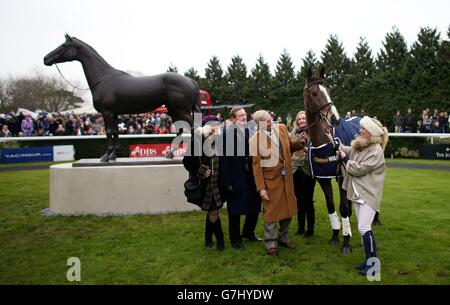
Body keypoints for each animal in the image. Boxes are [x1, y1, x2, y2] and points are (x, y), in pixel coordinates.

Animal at [44, 33, 200, 162]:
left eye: (64, 45)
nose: (45, 58)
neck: (103, 79)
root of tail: (190, 81)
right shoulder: (114, 113)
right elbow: (116, 132)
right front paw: (113, 156)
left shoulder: (106, 112)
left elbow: (109, 132)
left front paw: (105, 156)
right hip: (173, 110)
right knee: (182, 130)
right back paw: (171, 154)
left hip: (180, 110)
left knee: (192, 128)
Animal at [302, 67, 356, 253]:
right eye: (313, 92)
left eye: (329, 90)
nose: (334, 118)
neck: (325, 141)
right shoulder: (323, 178)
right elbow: (331, 206)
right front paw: (335, 235)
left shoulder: (342, 177)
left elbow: (344, 208)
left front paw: (346, 242)